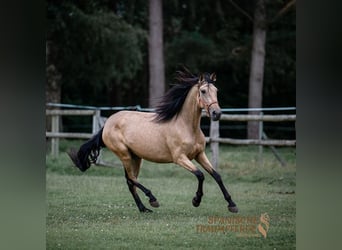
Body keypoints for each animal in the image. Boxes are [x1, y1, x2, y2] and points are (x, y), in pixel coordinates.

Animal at [68, 69, 239, 213]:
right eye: (203, 91)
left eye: (216, 91)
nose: (217, 113)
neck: (186, 126)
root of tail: (108, 123)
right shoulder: (180, 158)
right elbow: (200, 175)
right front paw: (196, 200)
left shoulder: (199, 154)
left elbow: (216, 175)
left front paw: (232, 204)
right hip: (124, 154)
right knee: (131, 179)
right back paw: (152, 199)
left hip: (135, 157)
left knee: (130, 181)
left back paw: (144, 208)